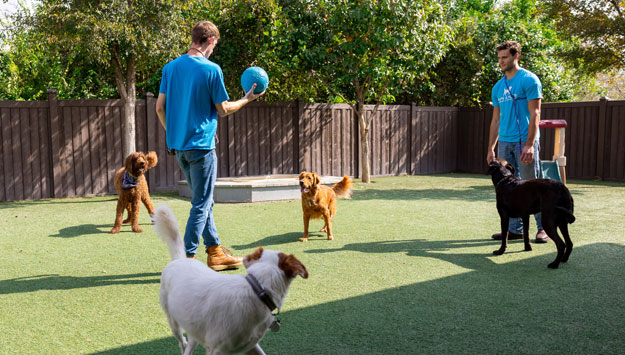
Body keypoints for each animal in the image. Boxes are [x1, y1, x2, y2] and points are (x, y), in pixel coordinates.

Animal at [151, 204, 308, 354]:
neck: (258, 289)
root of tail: (180, 259)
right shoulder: (216, 350)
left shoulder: (250, 345)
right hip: (173, 322)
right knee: (182, 342)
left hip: (193, 326)